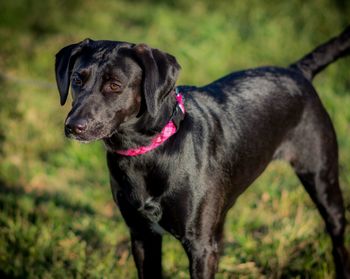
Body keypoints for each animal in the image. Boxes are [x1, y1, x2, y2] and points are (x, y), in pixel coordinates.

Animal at [54, 26, 350, 279]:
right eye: (78, 79)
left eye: (115, 85)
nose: (74, 127)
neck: (147, 152)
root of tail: (297, 71)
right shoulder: (142, 236)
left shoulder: (200, 248)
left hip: (323, 180)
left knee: (338, 235)